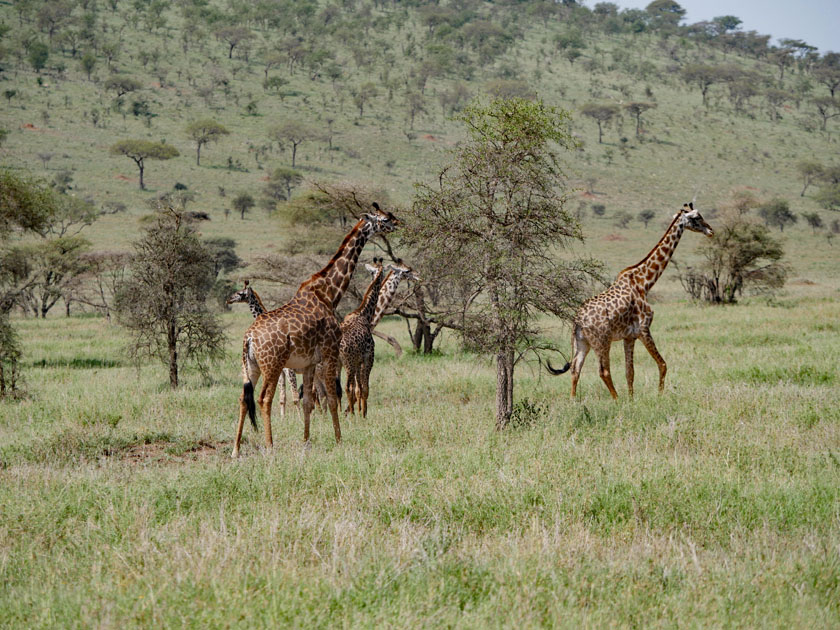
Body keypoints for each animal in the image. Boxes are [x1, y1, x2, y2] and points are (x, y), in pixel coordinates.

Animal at [225, 282, 300, 420]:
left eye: (240, 293)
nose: (229, 299)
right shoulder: (281, 371)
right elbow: (282, 397)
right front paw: (282, 419)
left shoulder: (289, 369)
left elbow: (295, 397)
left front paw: (300, 419)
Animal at [338, 256, 384, 420]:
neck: (363, 314)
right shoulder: (368, 357)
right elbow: (365, 388)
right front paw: (363, 414)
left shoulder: (358, 361)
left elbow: (358, 389)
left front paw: (360, 412)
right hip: (348, 363)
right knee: (346, 387)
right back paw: (351, 414)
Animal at [544, 204, 716, 400]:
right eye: (696, 217)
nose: (711, 231)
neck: (644, 282)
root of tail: (577, 320)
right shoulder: (643, 329)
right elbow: (662, 364)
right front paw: (659, 395)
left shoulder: (629, 336)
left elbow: (630, 372)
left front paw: (632, 400)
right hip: (602, 341)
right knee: (603, 371)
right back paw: (616, 400)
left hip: (582, 343)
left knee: (575, 369)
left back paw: (574, 402)